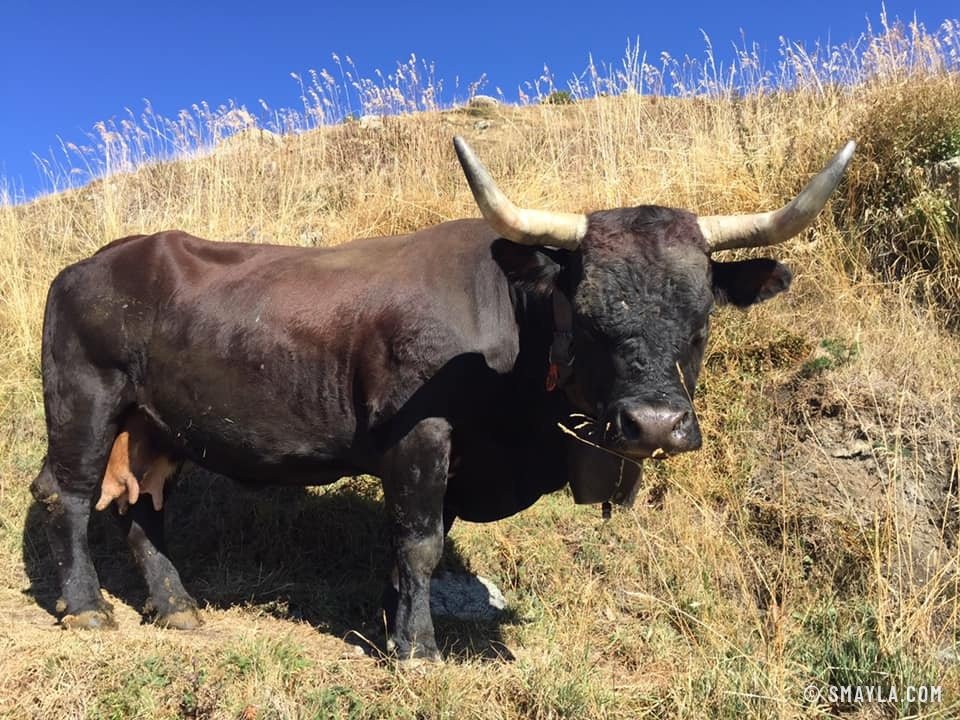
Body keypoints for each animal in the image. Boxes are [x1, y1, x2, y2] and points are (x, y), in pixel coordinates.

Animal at [30, 136, 855, 659]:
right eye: (586, 315)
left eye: (702, 319)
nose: (653, 424)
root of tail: (90, 264)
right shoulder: (419, 438)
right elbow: (420, 542)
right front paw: (419, 648)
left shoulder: (453, 467)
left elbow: (411, 549)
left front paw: (395, 624)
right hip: (85, 405)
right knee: (68, 496)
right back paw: (87, 609)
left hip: (158, 428)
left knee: (142, 507)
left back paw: (177, 609)